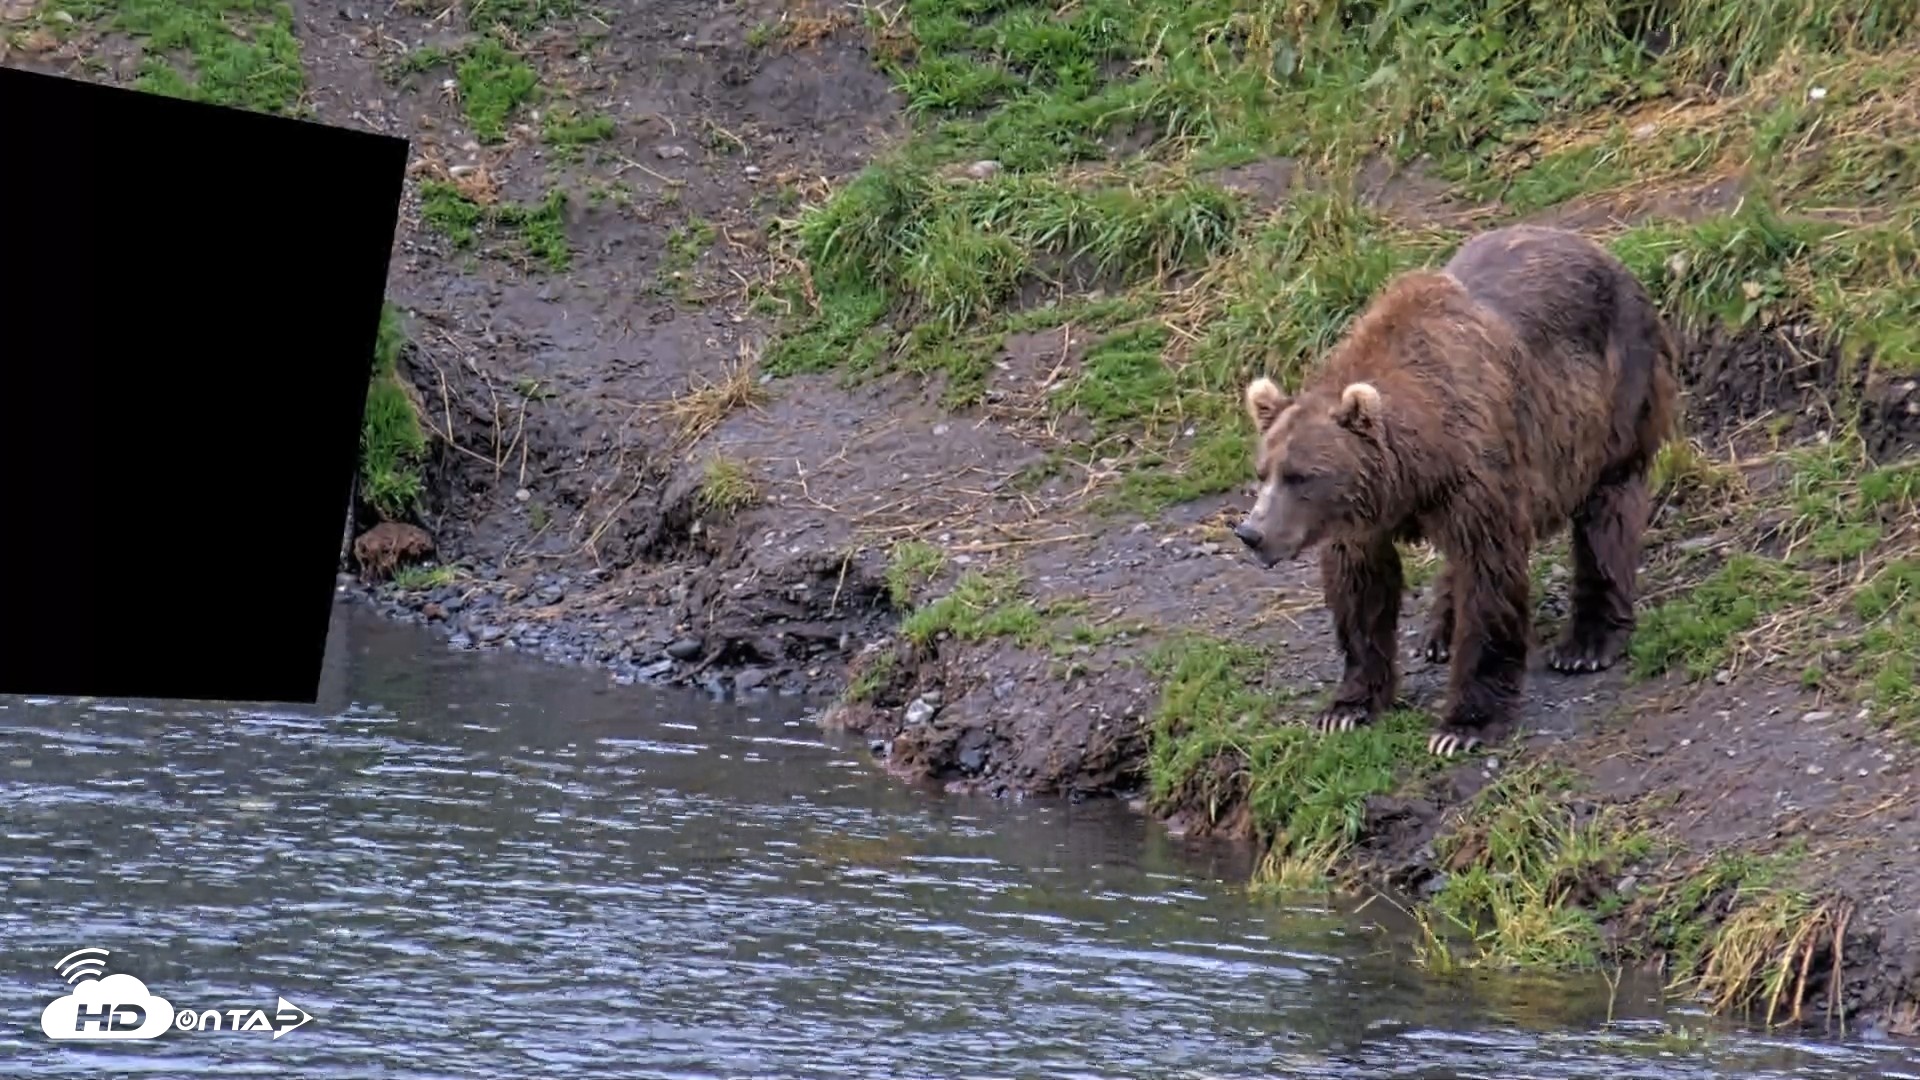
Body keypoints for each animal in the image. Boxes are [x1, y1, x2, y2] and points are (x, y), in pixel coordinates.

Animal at [1232, 223, 1680, 757]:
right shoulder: (1367, 516)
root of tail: (1603, 251)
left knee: (1607, 512)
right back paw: (1440, 633)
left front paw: (1463, 726)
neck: (1421, 463)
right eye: (1263, 471)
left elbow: (1488, 576)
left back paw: (1587, 643)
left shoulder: (1479, 472)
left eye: (1301, 476)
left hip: (1615, 397)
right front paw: (1347, 707)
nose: (1252, 532)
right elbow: (1361, 590)